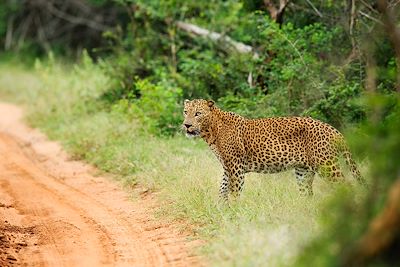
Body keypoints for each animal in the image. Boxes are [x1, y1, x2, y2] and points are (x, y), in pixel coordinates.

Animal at [183, 99, 368, 201]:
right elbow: (222, 188)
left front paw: (234, 211)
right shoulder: (227, 167)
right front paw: (221, 209)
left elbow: (234, 190)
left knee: (346, 186)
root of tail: (334, 130)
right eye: (185, 112)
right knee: (307, 194)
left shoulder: (236, 166)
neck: (211, 131)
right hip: (303, 171)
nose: (186, 125)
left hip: (327, 165)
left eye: (198, 113)